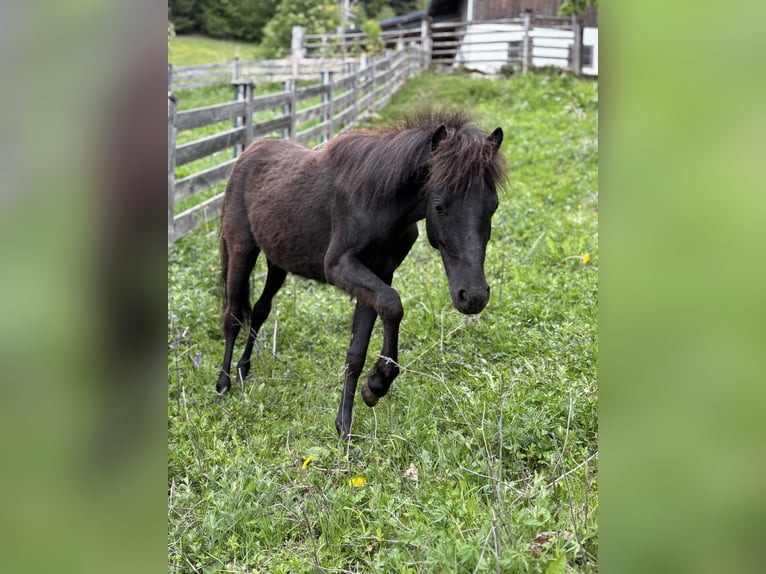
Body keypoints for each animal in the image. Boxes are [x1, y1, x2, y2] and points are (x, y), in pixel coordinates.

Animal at [216, 112, 506, 440]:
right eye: (439, 205)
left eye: (493, 205)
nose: (474, 296)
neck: (376, 200)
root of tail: (249, 152)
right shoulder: (341, 268)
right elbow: (393, 305)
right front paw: (377, 383)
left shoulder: (379, 274)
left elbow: (358, 351)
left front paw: (350, 418)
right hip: (241, 251)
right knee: (233, 315)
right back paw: (223, 384)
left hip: (277, 261)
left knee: (259, 311)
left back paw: (243, 370)